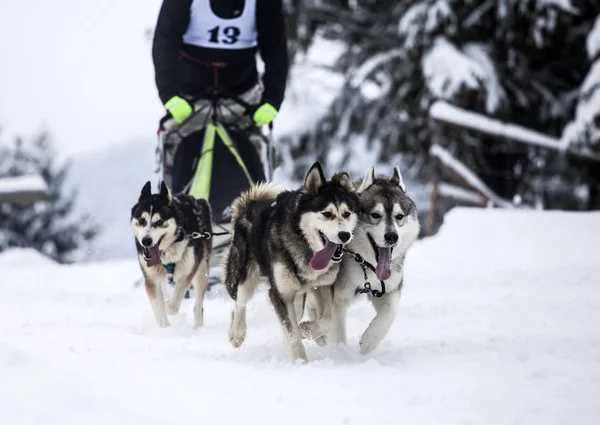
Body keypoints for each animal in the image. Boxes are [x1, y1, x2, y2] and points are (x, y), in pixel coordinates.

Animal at [131, 179, 213, 328]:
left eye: (159, 222)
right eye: (141, 220)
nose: (146, 241)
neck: (165, 252)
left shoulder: (188, 272)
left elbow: (174, 304)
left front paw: (170, 309)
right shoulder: (151, 279)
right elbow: (159, 306)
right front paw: (165, 328)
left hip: (202, 270)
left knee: (198, 306)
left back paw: (198, 326)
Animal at [221, 162, 358, 362]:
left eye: (347, 213)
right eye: (327, 214)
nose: (345, 235)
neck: (307, 249)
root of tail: (250, 205)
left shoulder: (323, 285)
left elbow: (326, 319)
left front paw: (306, 330)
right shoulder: (280, 293)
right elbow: (292, 334)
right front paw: (300, 362)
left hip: (298, 296)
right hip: (243, 276)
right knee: (239, 302)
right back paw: (237, 333)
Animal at [326, 166, 420, 354]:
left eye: (399, 216)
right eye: (375, 215)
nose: (392, 236)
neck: (366, 264)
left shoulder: (388, 289)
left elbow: (389, 313)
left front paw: (370, 341)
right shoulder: (335, 299)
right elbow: (337, 334)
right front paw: (339, 353)